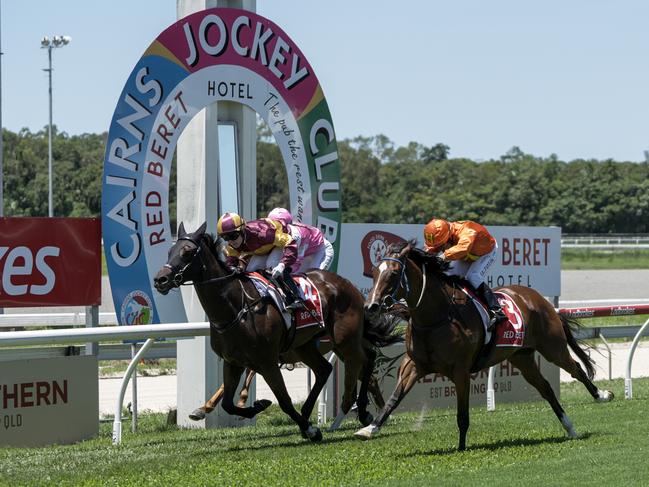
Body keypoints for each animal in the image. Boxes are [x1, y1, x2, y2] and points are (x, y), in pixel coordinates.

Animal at [153, 224, 400, 442]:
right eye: (169, 251)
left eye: (187, 252)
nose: (160, 279)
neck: (236, 307)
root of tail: (348, 284)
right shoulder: (233, 362)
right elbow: (228, 404)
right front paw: (258, 406)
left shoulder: (267, 362)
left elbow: (285, 401)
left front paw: (311, 430)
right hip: (306, 346)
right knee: (327, 369)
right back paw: (323, 412)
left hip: (345, 340)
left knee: (365, 361)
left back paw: (361, 411)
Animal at [354, 242, 612, 452]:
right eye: (374, 272)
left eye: (394, 273)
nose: (371, 306)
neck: (436, 317)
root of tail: (538, 299)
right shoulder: (414, 365)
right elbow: (394, 398)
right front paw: (370, 428)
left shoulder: (460, 370)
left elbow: (462, 414)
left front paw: (461, 448)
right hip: (522, 357)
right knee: (546, 388)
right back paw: (569, 427)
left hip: (552, 347)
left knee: (576, 369)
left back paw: (601, 395)